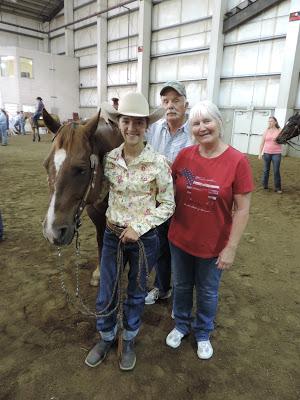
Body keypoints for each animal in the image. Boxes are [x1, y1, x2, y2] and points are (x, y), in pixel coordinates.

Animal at [41, 108, 123, 286]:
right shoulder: (96, 216)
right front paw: (99, 273)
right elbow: (101, 241)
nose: (52, 232)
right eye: (45, 165)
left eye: (82, 169)